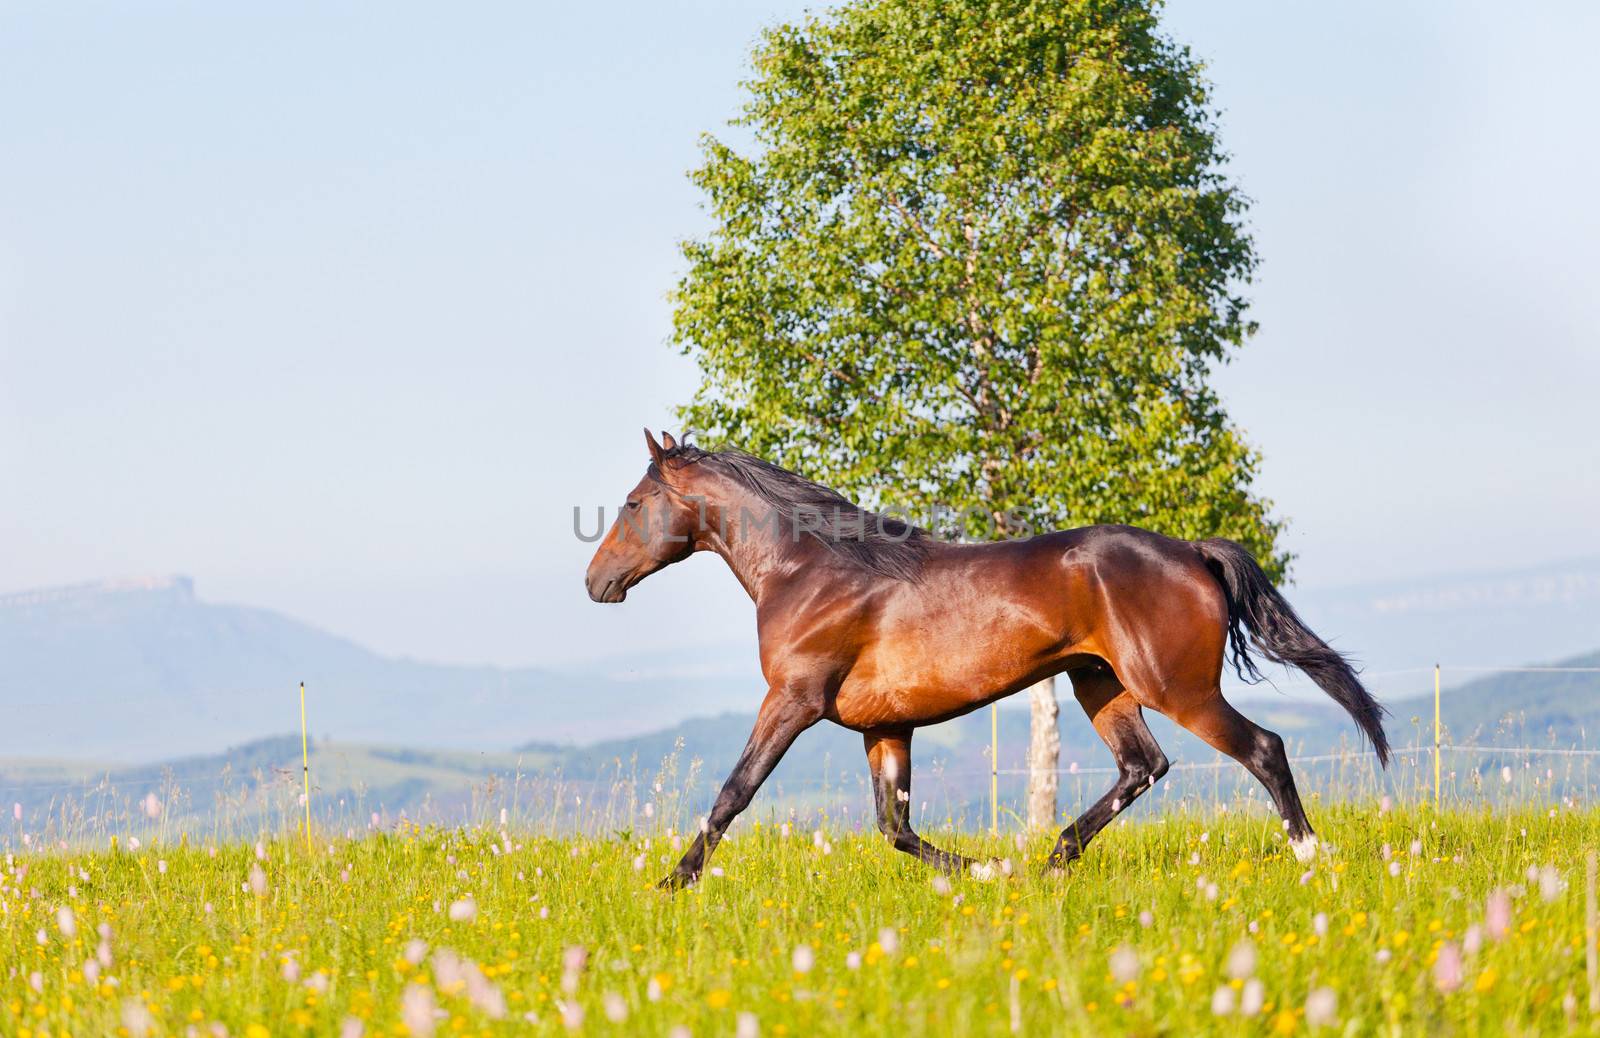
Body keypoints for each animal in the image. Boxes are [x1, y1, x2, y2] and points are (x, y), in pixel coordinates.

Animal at [588, 428, 1388, 889]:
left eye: (632, 502)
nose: (595, 583)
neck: (808, 570)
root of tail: (1193, 551)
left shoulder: (793, 701)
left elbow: (736, 793)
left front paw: (671, 885)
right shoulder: (886, 728)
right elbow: (896, 828)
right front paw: (989, 870)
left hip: (1178, 688)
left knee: (1263, 748)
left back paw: (1311, 860)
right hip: (1101, 684)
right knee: (1142, 767)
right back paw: (1051, 862)